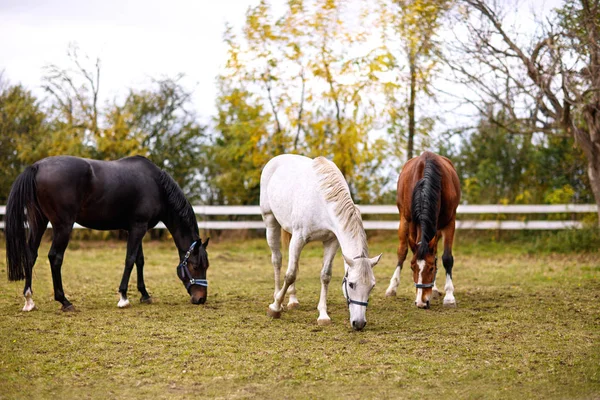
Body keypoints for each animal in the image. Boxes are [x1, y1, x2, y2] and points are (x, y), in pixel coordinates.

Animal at [4, 155, 210, 310]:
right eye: (194, 266)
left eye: (206, 266)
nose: (201, 298)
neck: (156, 186)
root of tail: (37, 167)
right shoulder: (138, 227)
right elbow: (130, 260)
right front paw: (123, 297)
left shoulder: (135, 228)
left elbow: (139, 260)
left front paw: (144, 295)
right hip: (63, 226)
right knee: (55, 257)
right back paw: (64, 301)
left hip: (38, 221)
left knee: (30, 255)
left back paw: (29, 300)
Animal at [262, 154, 382, 332]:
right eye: (351, 284)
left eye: (372, 286)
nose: (359, 323)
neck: (323, 201)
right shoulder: (298, 238)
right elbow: (290, 274)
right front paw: (275, 308)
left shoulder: (331, 241)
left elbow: (325, 276)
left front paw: (323, 316)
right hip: (270, 221)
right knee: (277, 260)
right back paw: (277, 298)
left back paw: (292, 300)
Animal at [384, 151, 460, 310]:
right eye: (412, 267)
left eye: (431, 268)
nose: (421, 302)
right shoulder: (413, 222)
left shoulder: (449, 223)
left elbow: (446, 258)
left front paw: (449, 297)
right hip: (404, 221)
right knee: (402, 251)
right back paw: (392, 288)